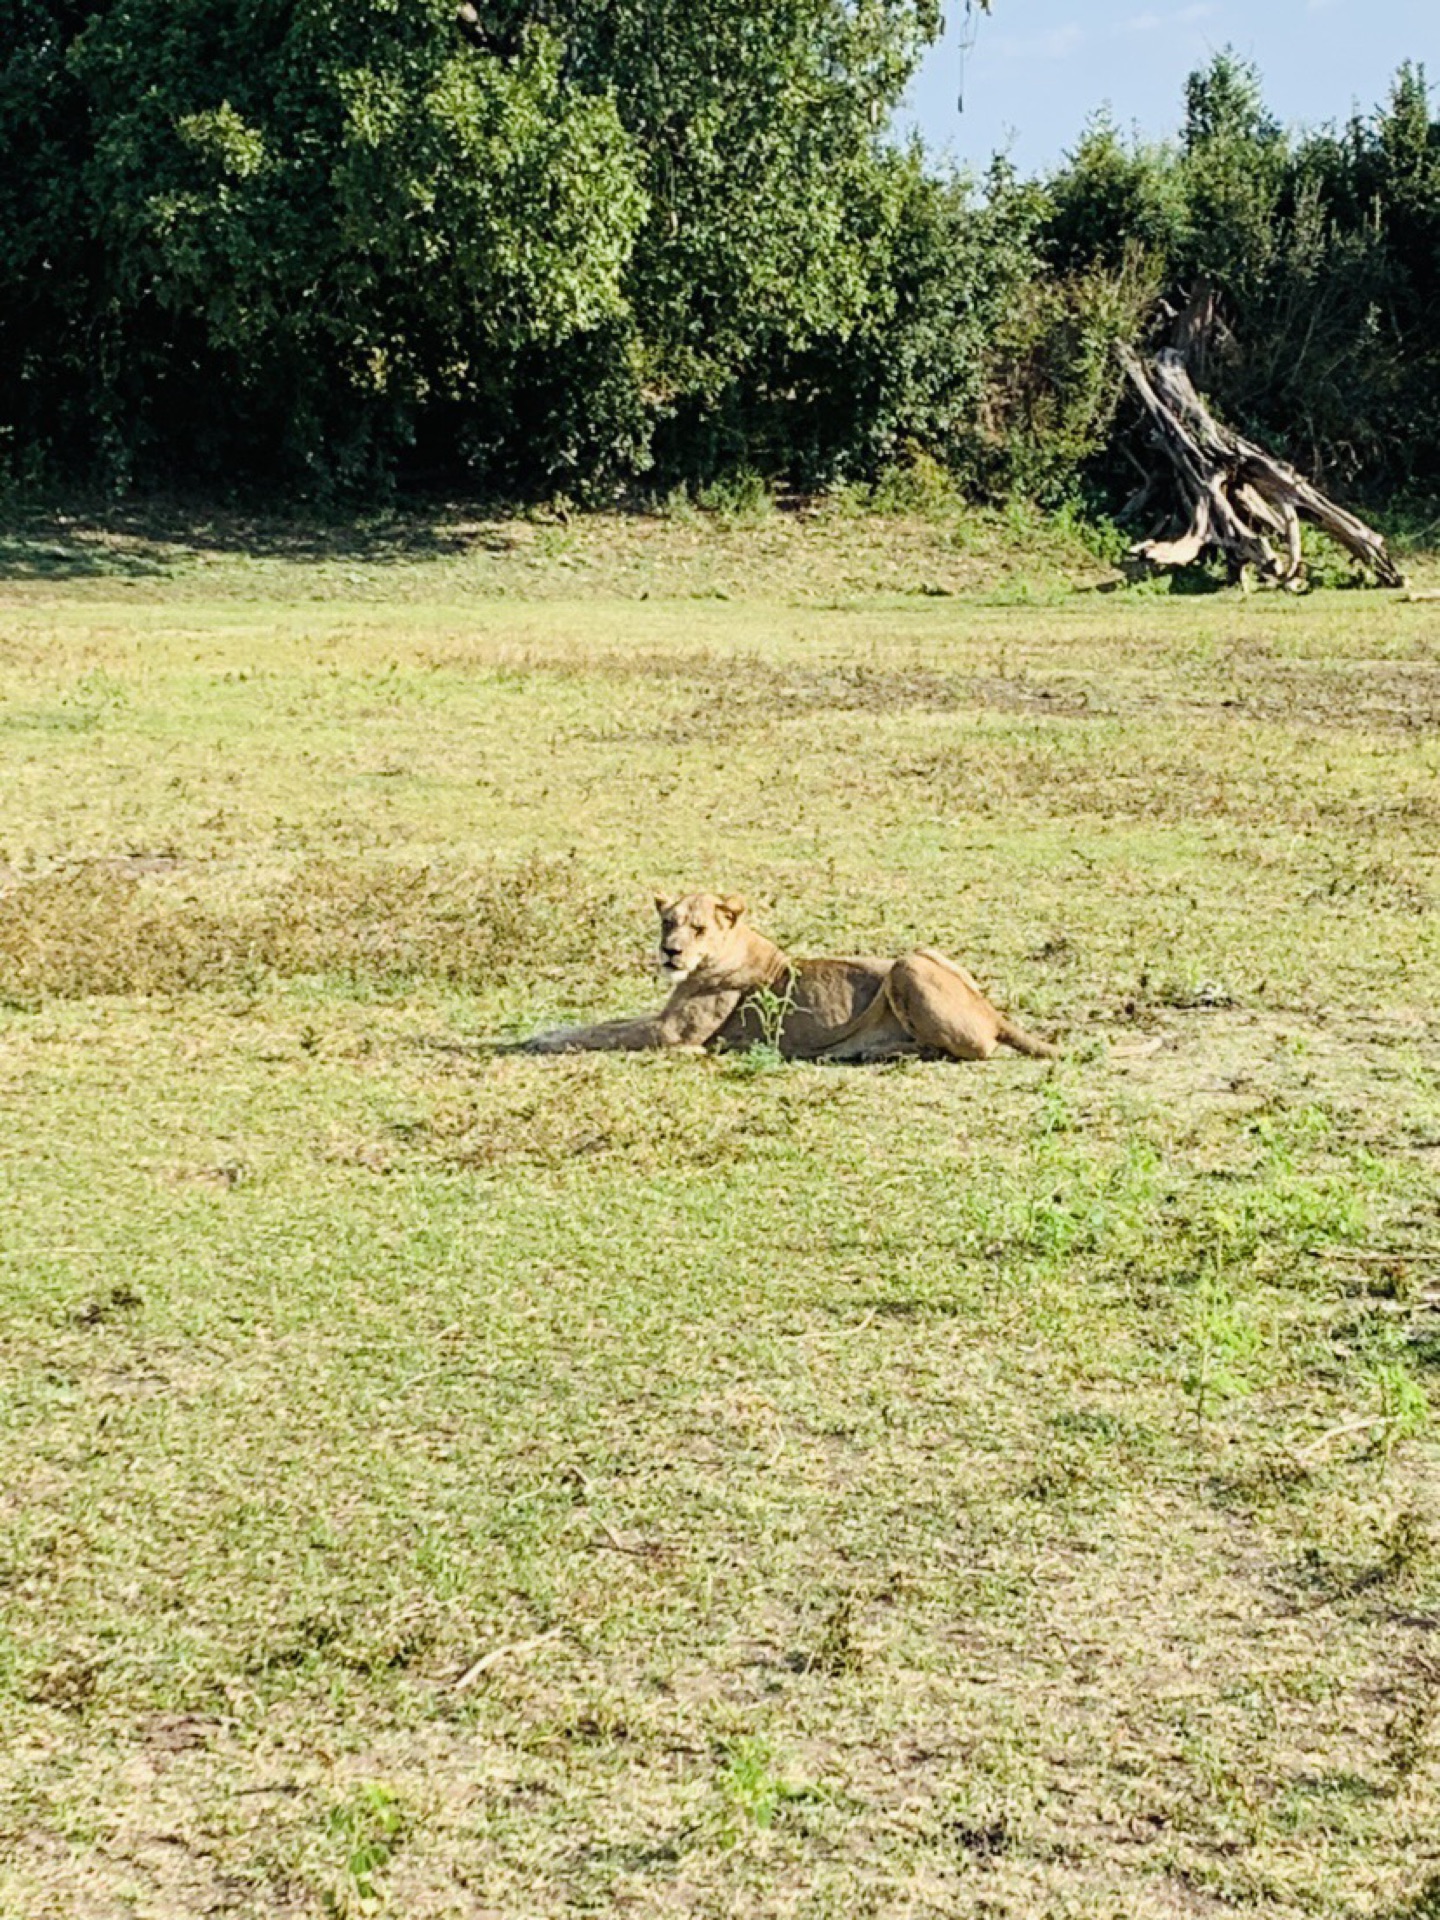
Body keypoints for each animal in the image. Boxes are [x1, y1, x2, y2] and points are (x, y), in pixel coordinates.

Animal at [522, 887, 1059, 1067]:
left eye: (698, 928)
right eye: (667, 922)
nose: (669, 952)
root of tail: (991, 1009)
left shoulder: (672, 1032)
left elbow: (601, 1034)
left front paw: (540, 1040)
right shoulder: (663, 1020)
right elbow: (606, 1024)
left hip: (906, 964)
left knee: (974, 1049)